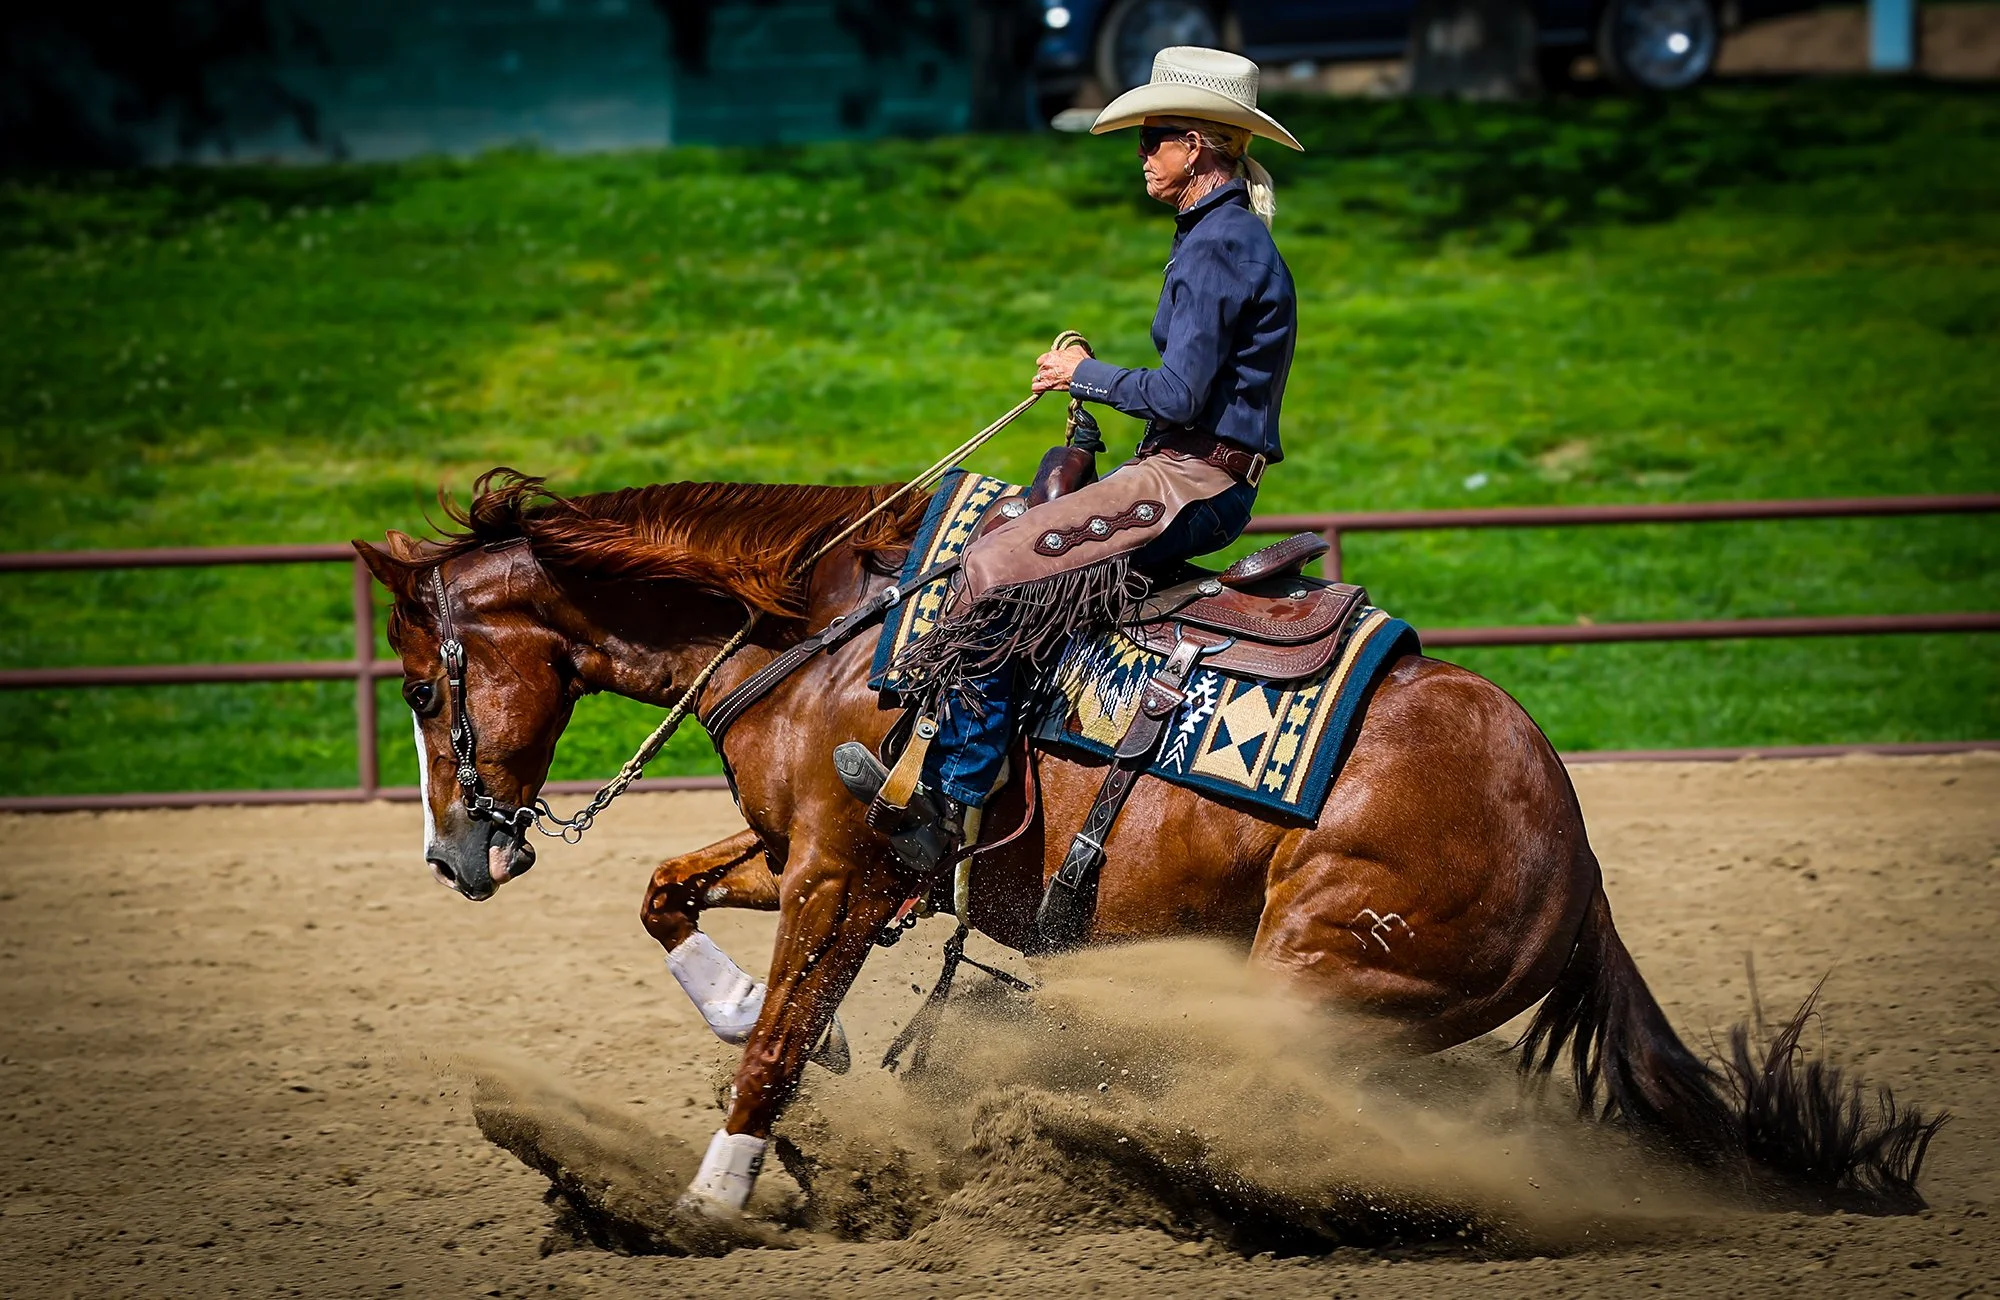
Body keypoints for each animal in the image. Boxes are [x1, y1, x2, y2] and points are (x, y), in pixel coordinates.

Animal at [354, 468, 1940, 1226]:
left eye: (426, 688)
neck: (822, 631)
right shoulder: (807, 854)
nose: (452, 857)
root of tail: (1577, 848)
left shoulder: (847, 870)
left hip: (1319, 972)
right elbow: (667, 903)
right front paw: (752, 1014)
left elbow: (778, 1055)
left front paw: (713, 1197)